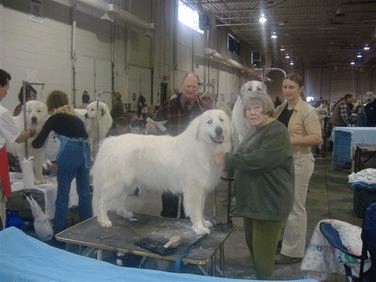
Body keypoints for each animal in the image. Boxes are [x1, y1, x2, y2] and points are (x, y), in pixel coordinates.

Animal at [92, 109, 232, 235]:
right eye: (209, 122)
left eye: (221, 120)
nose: (219, 130)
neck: (203, 146)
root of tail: (109, 142)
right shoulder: (194, 190)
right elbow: (196, 210)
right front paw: (199, 228)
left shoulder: (202, 191)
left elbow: (201, 209)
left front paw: (204, 222)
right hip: (116, 183)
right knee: (102, 201)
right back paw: (103, 220)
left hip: (128, 183)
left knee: (120, 199)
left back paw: (124, 213)